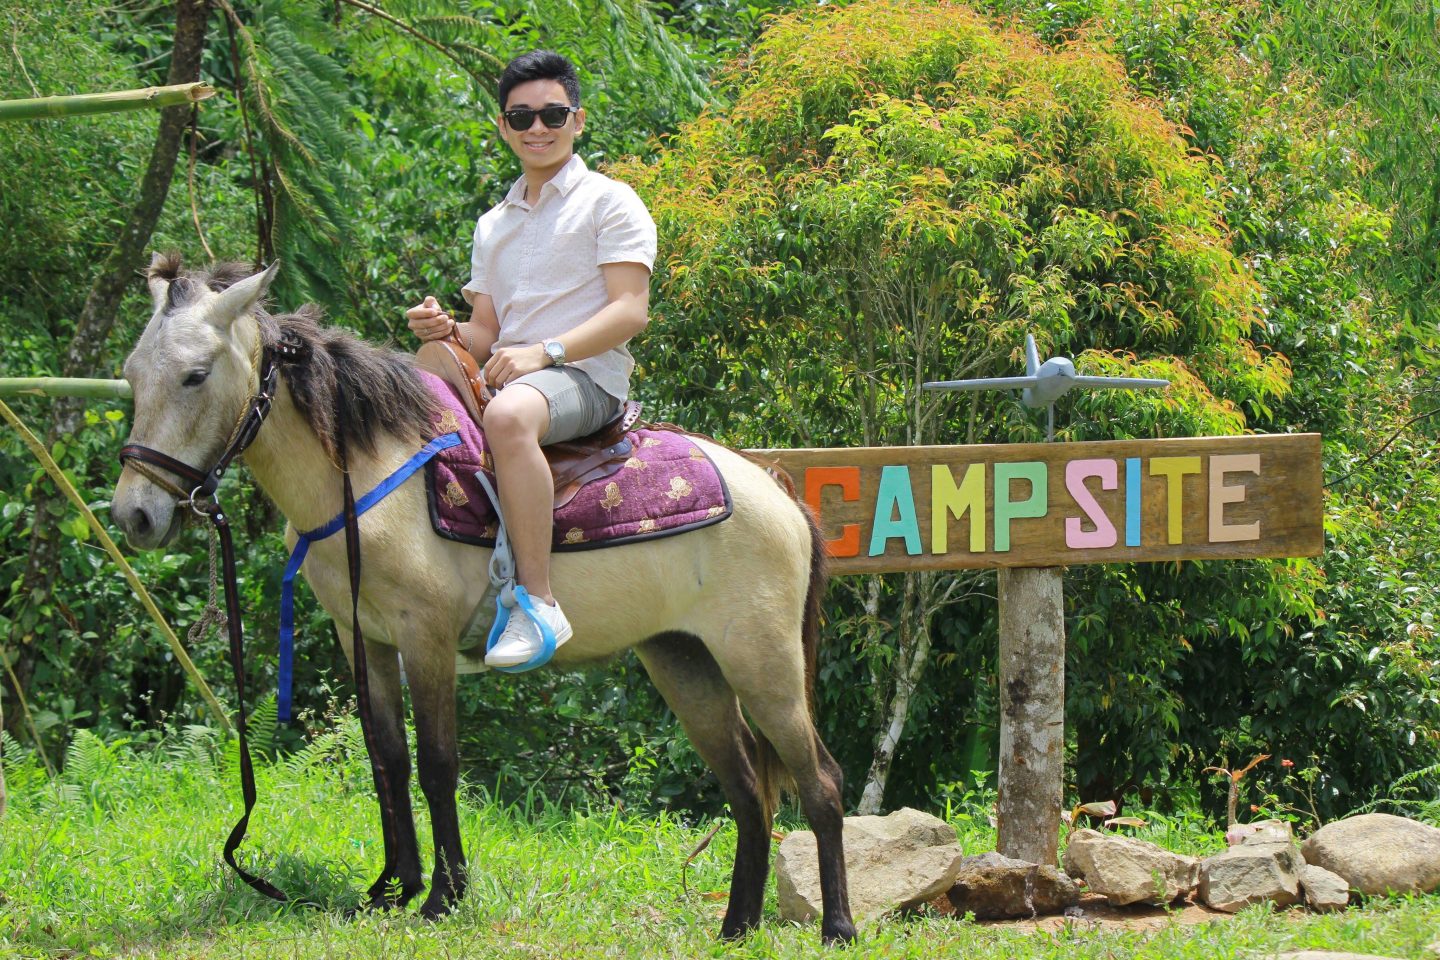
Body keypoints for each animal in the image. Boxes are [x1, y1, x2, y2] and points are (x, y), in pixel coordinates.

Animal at [112, 251, 858, 944]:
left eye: (196, 374)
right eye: (132, 373)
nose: (135, 516)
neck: (370, 475)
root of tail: (779, 493)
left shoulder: (426, 637)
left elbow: (438, 765)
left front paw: (444, 897)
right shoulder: (364, 636)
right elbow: (388, 759)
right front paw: (393, 890)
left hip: (763, 665)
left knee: (819, 781)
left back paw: (838, 927)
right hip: (684, 663)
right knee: (748, 789)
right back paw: (736, 925)